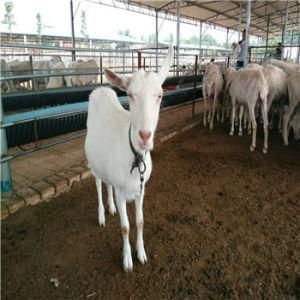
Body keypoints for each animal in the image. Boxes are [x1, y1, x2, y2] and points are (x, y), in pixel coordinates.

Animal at [85, 48, 172, 274]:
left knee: (107, 184)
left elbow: (140, 222)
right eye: (130, 95)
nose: (145, 136)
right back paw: (102, 215)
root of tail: (101, 89)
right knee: (98, 184)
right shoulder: (122, 192)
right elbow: (125, 227)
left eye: (160, 95)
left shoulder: (141, 189)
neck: (135, 156)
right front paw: (127, 261)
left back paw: (111, 207)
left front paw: (141, 253)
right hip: (92, 162)